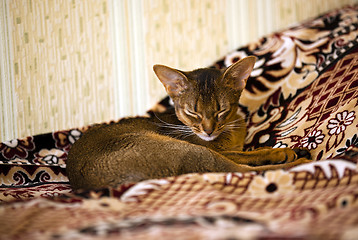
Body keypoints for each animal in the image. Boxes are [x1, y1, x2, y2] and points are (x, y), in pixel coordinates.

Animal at [66, 55, 310, 189]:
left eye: (221, 110)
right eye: (193, 112)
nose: (209, 130)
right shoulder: (217, 149)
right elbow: (248, 154)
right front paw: (278, 151)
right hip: (189, 151)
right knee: (242, 170)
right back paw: (298, 159)